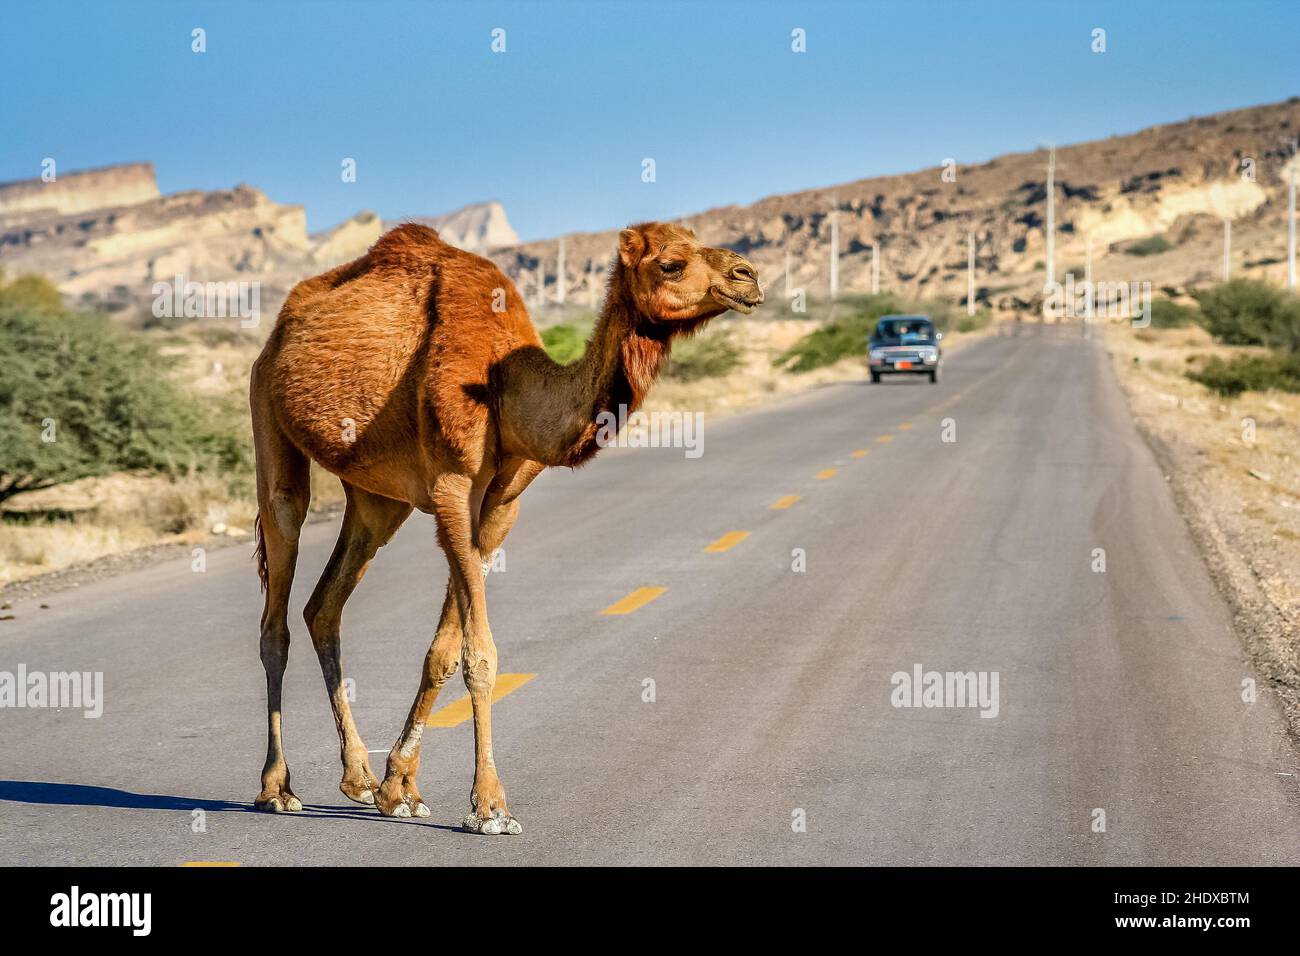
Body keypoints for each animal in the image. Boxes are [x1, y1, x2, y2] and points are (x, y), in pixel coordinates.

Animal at [248, 221, 762, 833]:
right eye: (671, 263)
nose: (748, 276)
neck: (503, 384)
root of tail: (276, 334)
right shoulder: (451, 486)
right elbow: (480, 654)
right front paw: (490, 805)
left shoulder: (500, 507)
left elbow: (444, 652)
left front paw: (401, 789)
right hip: (268, 421)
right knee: (277, 601)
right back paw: (277, 788)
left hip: (376, 499)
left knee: (323, 607)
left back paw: (358, 777)